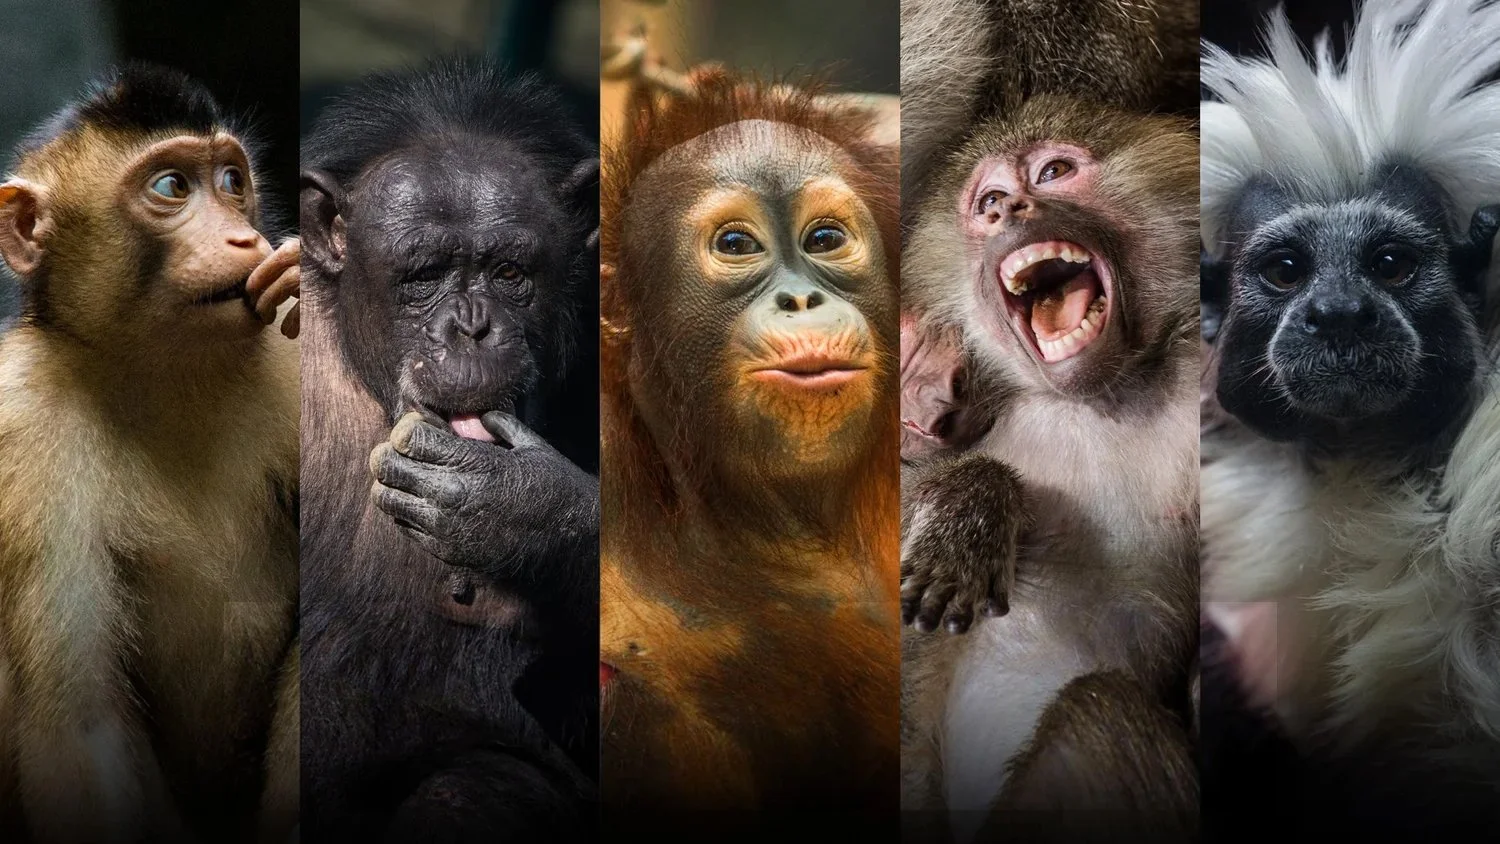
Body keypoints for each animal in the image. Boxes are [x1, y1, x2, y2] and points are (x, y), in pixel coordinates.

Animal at [0, 63, 300, 843]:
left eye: (231, 180)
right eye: (171, 187)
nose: (244, 239)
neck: (166, 373)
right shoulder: (19, 419)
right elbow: (80, 721)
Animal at [897, 96, 1201, 844]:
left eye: (1055, 172)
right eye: (989, 201)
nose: (1011, 211)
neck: (1106, 399)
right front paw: (968, 515)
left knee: (1102, 714)